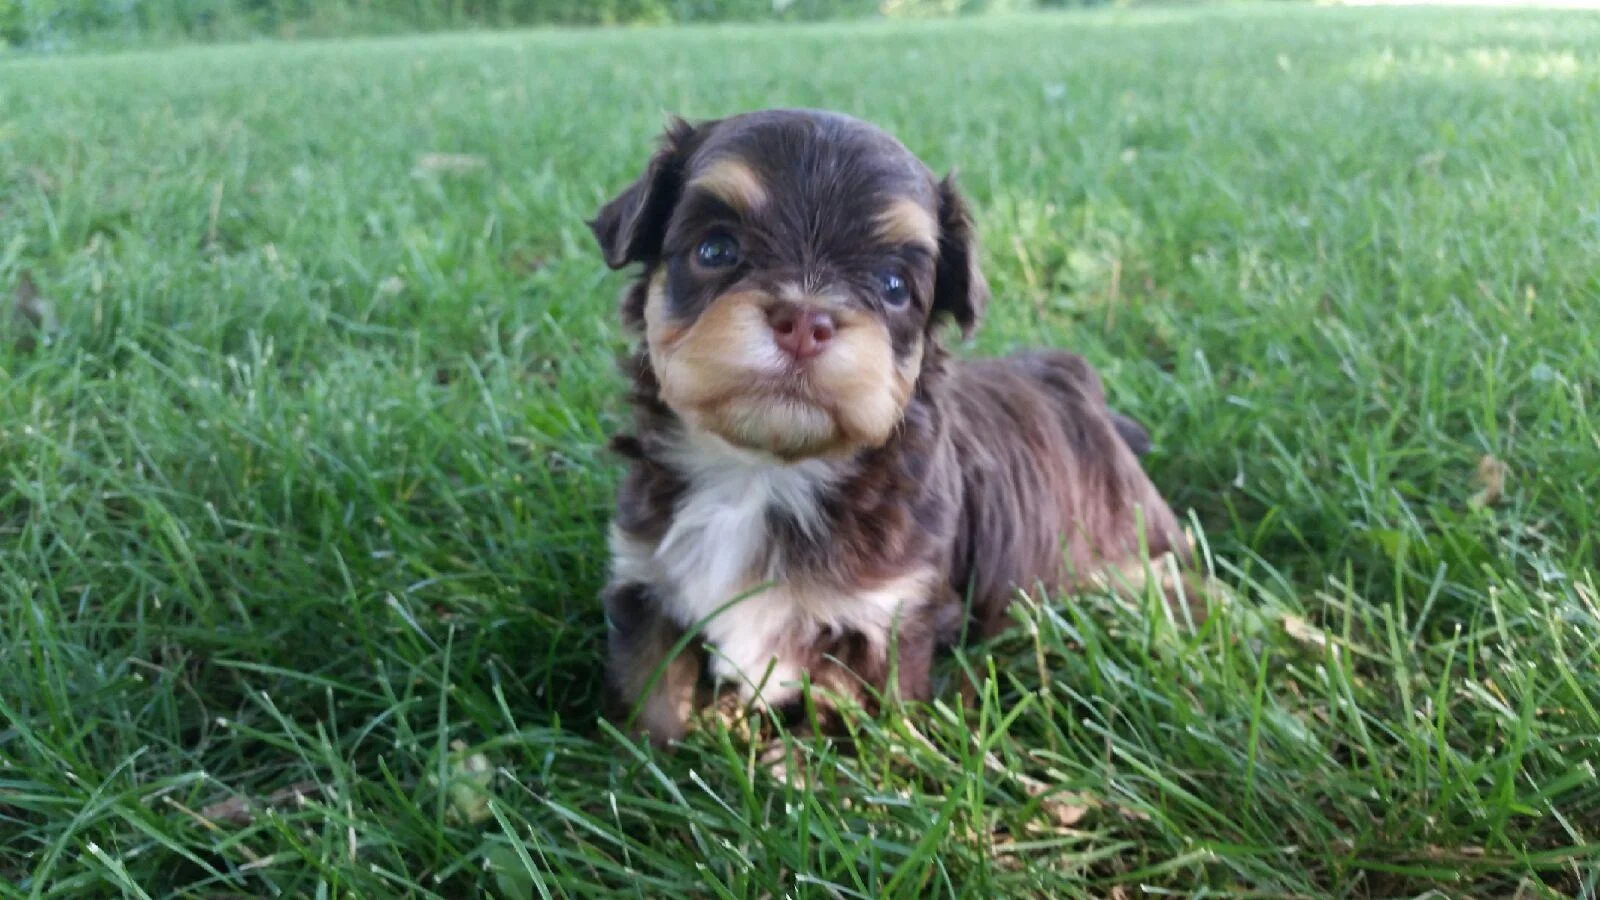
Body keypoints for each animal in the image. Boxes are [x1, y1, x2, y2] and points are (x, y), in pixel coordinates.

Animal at [589, 109, 1191, 746]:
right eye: (715, 249)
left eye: (894, 287)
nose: (804, 321)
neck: (763, 472)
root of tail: (1077, 384)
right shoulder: (646, 581)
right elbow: (651, 697)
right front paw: (645, 754)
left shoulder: (892, 613)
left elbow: (851, 711)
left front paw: (798, 762)